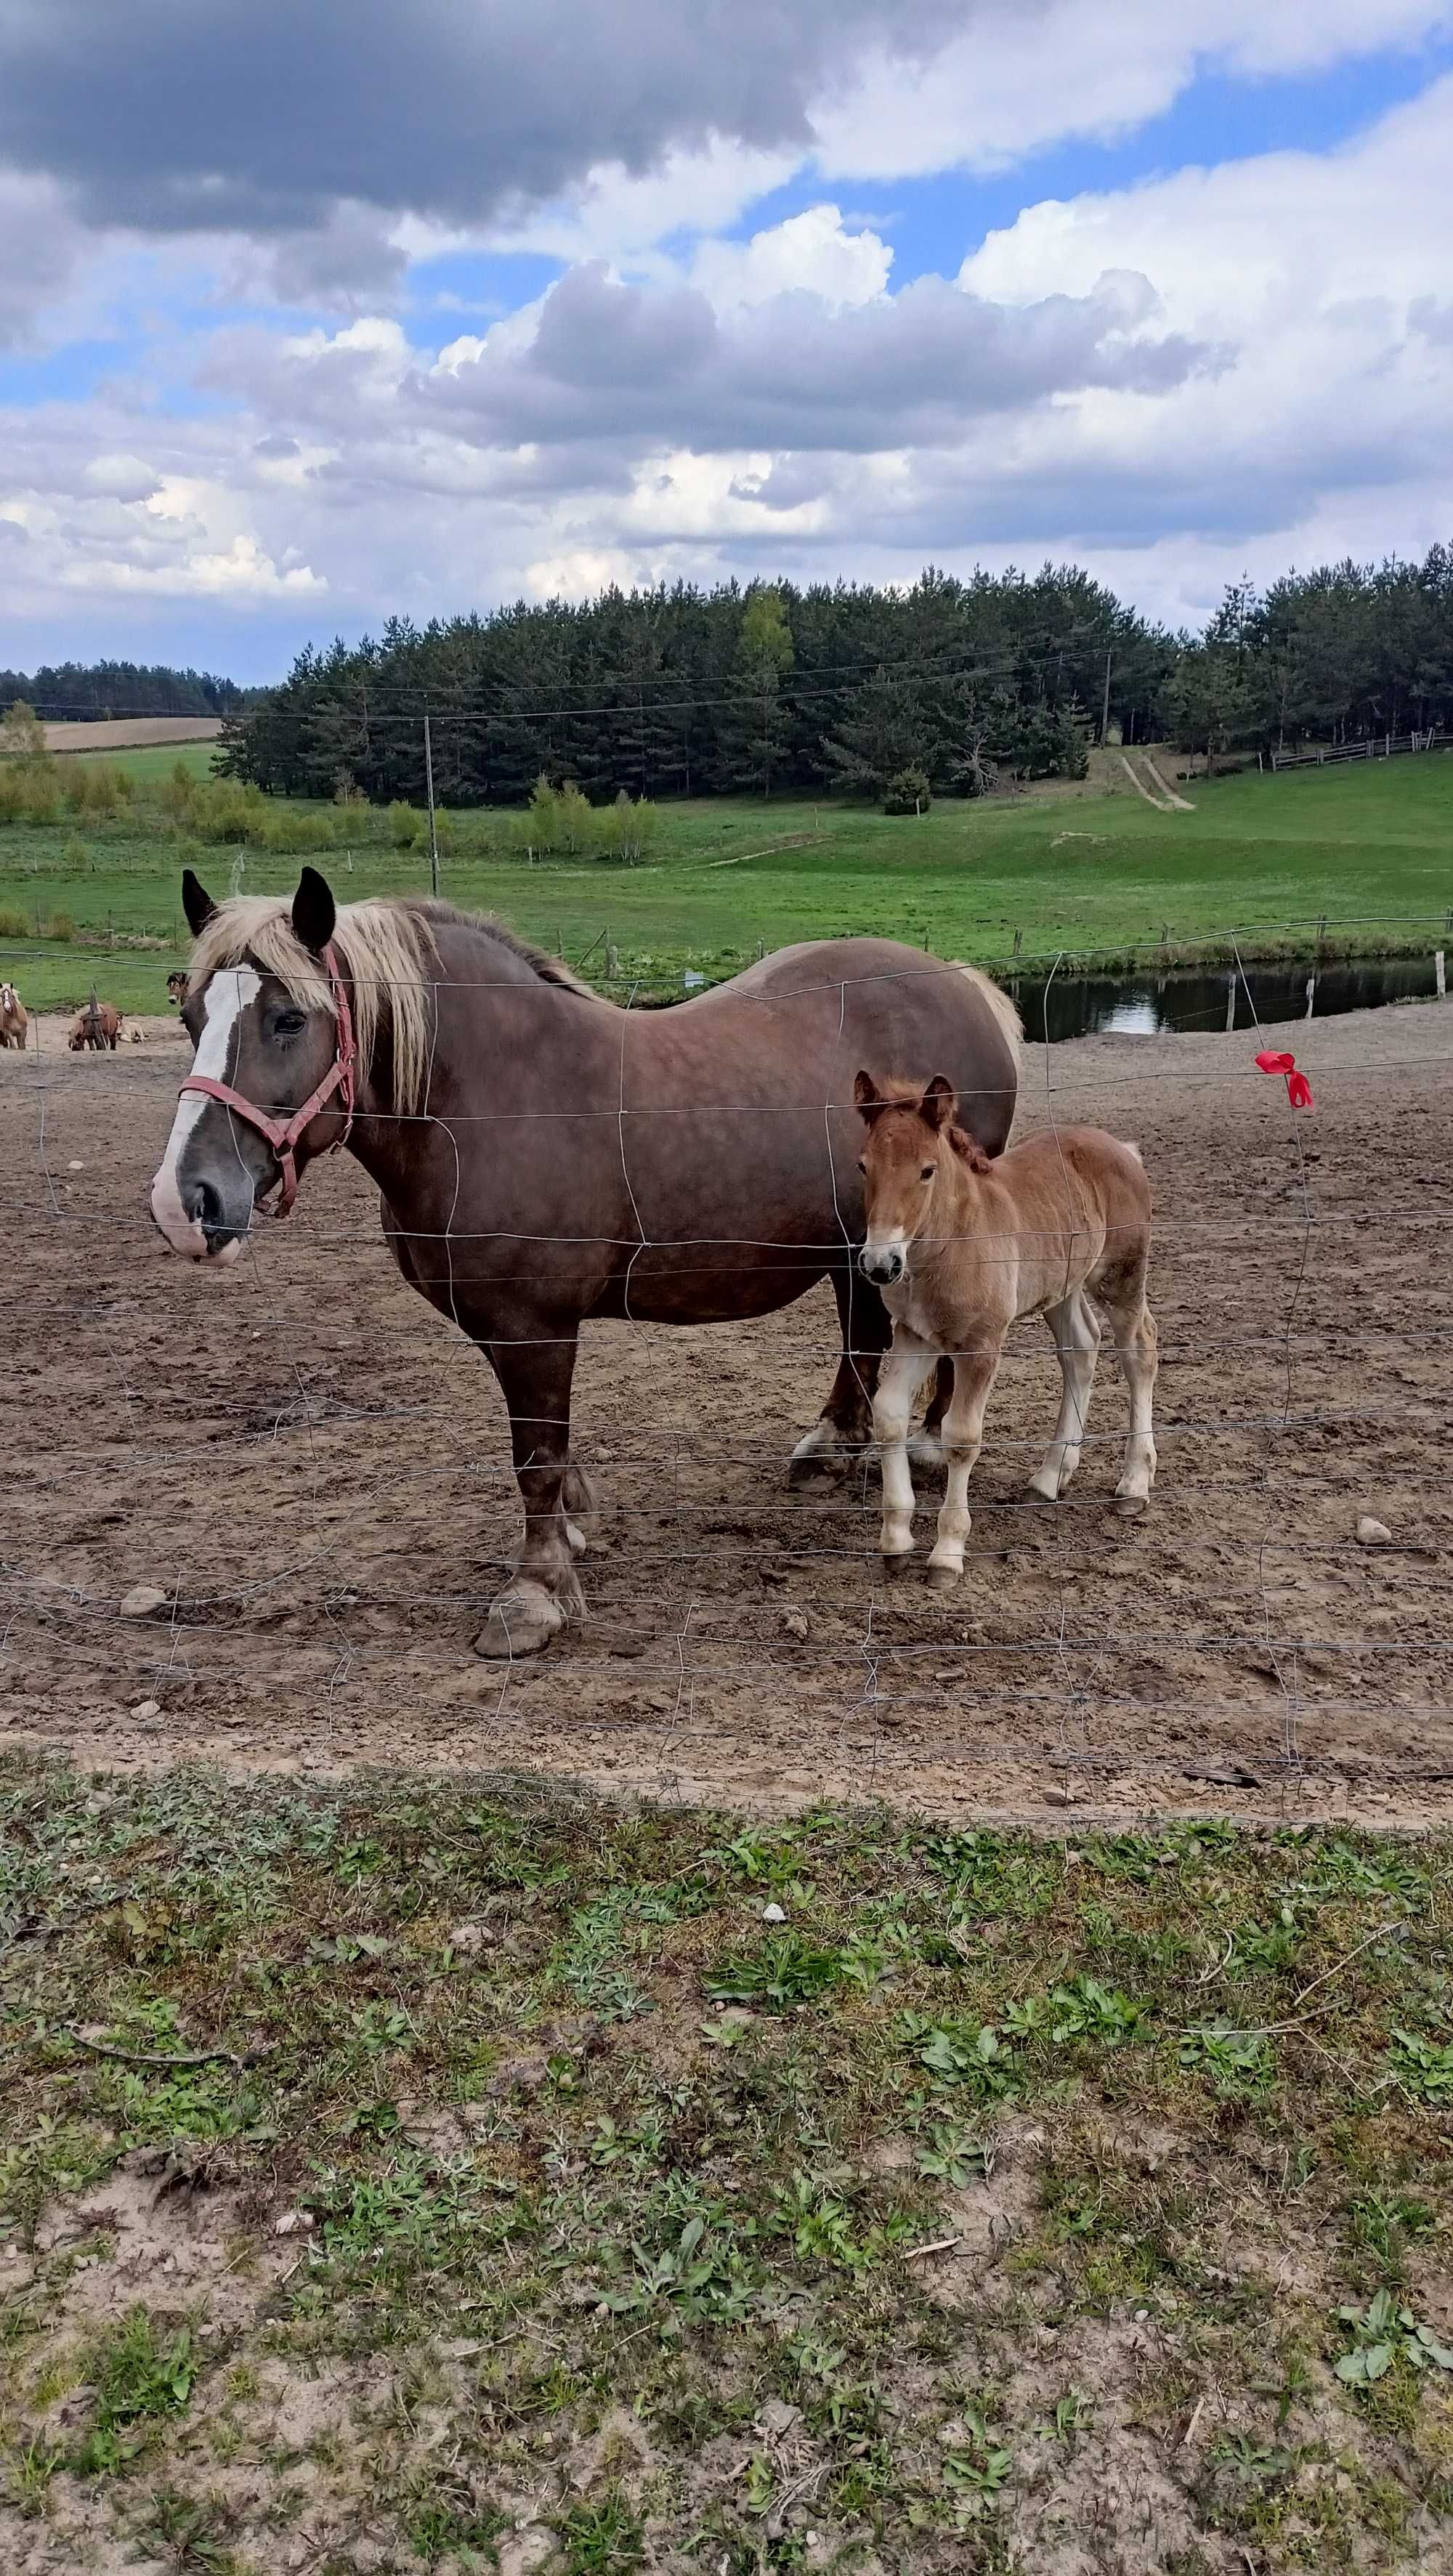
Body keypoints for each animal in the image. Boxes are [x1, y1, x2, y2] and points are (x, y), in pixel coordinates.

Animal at [147, 865, 1020, 1658]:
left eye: (289, 1019)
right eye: (190, 1015)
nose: (185, 1201)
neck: (492, 1099)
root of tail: (964, 984)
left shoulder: (534, 1326)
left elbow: (533, 1459)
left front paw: (535, 1593)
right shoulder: (504, 1328)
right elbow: (551, 1453)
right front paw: (571, 1533)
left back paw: (927, 1445)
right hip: (854, 1248)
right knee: (859, 1337)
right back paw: (834, 1447)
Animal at [850, 1072, 1159, 1587]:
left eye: (928, 1170)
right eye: (862, 1166)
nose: (879, 1264)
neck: (947, 1246)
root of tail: (1123, 1148)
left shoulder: (981, 1345)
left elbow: (961, 1438)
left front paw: (947, 1554)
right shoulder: (917, 1335)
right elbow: (889, 1416)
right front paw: (895, 1539)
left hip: (1121, 1276)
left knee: (1139, 1352)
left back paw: (1134, 1484)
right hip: (1062, 1286)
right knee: (1082, 1348)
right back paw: (1049, 1479)